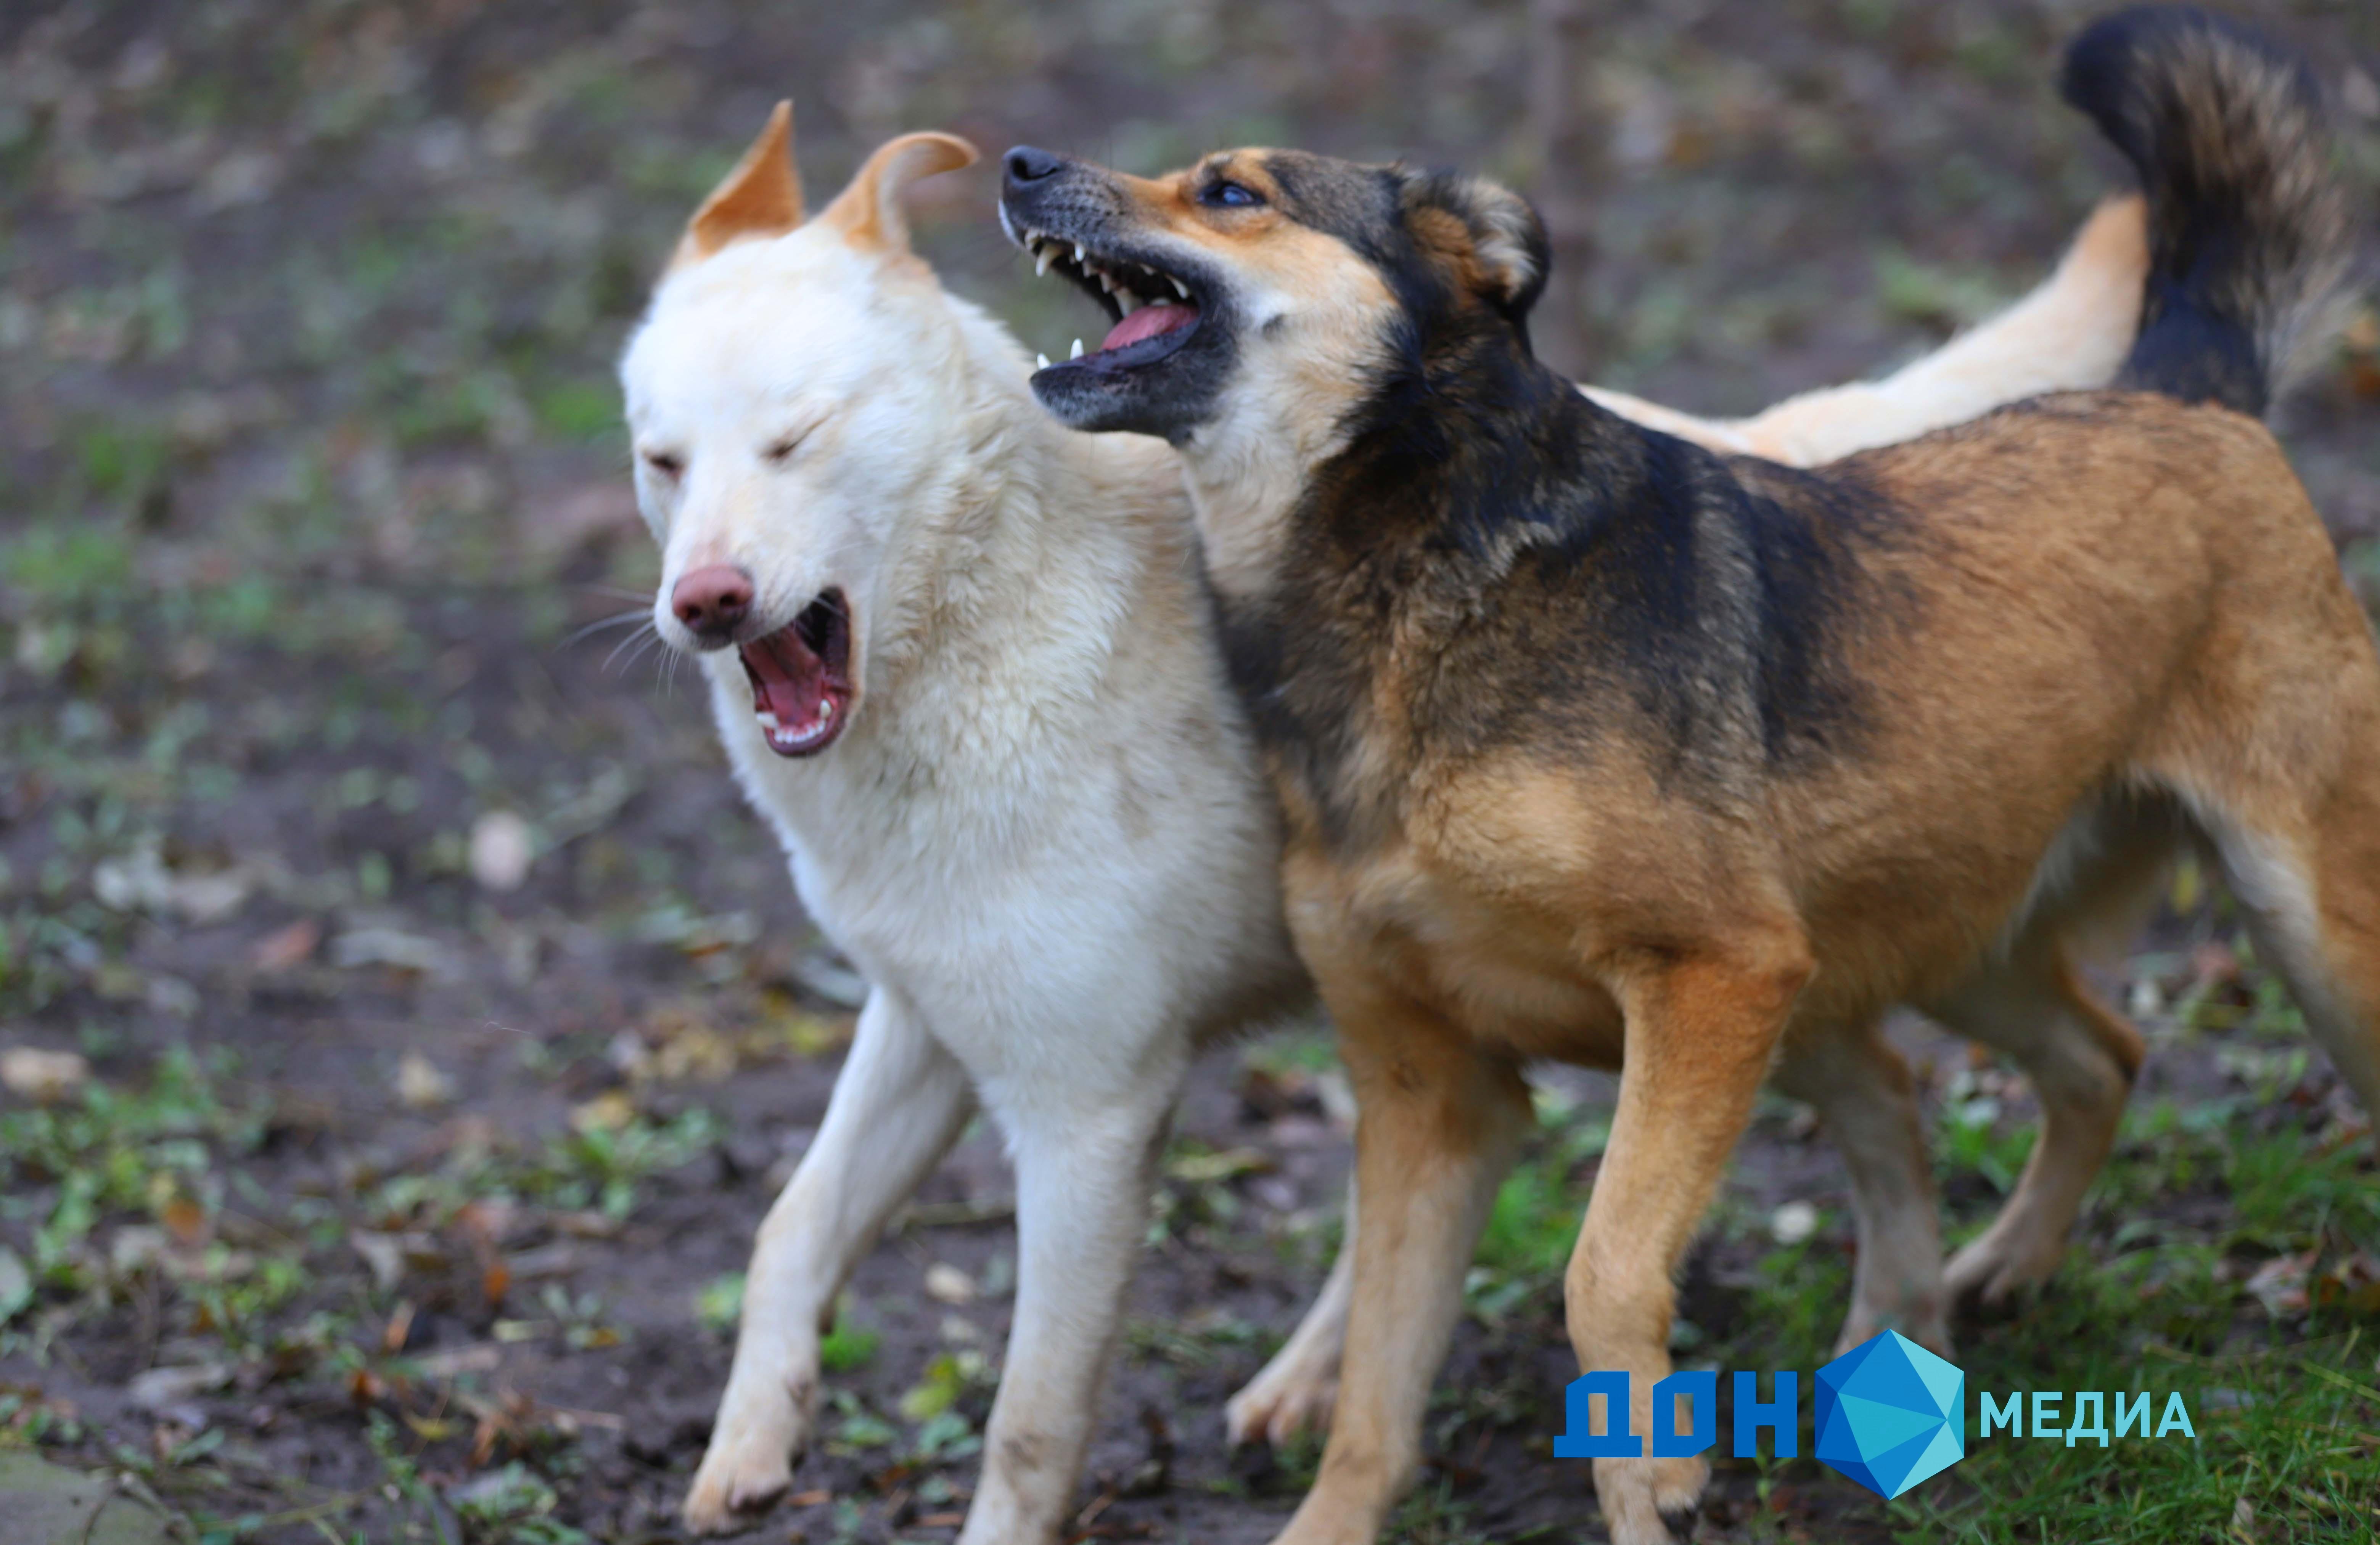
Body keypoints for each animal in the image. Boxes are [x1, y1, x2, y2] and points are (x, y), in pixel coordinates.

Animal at [623, 102, 2151, 1533]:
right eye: (660, 464)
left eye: (797, 439)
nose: (700, 604)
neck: (974, 627)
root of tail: (1775, 452)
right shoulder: (925, 1021)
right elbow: (790, 1226)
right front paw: (750, 1444)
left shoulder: (1087, 1116)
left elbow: (1028, 1426)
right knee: (1885, 1089)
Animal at [999, 12, 2361, 1542]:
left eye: (1231, 191)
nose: (1018, 160)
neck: (1409, 564)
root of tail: (2184, 397)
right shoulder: (1430, 1086)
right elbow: (1372, 1394)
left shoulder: (1714, 972)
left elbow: (1602, 1269)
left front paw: (1654, 1477)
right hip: (1940, 926)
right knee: (2098, 1054)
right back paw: (1978, 1282)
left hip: (2299, 926)